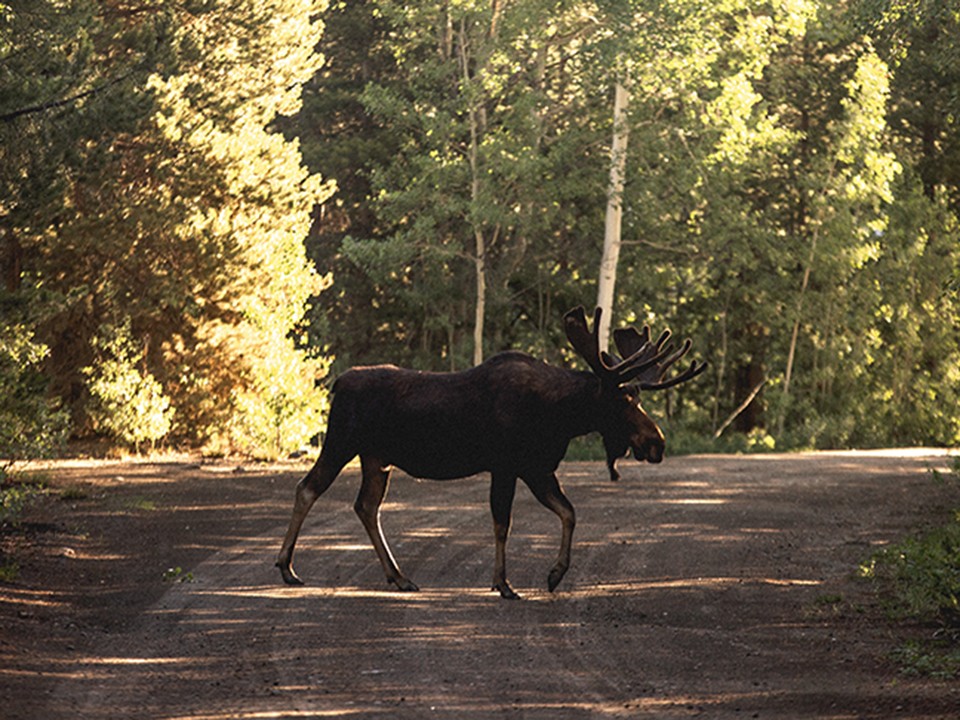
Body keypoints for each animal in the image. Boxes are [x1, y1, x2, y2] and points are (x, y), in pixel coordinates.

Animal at [278, 306, 704, 600]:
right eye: (622, 400)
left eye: (638, 398)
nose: (657, 442)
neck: (559, 416)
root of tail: (338, 383)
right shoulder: (507, 465)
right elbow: (503, 523)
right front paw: (504, 583)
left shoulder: (537, 467)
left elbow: (569, 512)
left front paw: (555, 574)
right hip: (341, 441)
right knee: (308, 488)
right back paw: (287, 567)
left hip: (376, 458)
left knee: (366, 506)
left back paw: (398, 576)